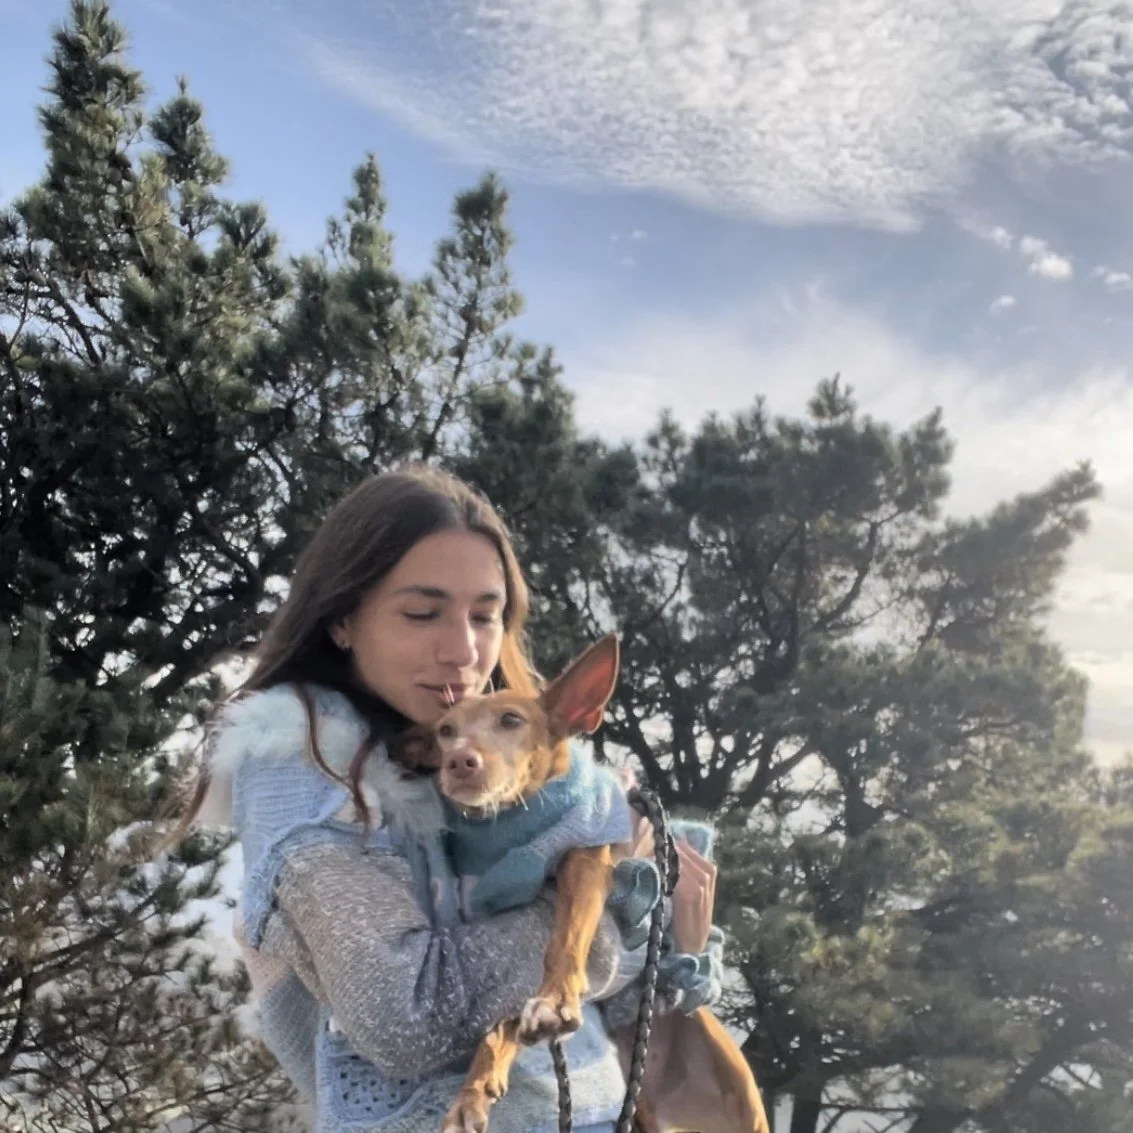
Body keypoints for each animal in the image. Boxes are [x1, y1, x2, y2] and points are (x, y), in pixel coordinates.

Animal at [394, 634, 769, 1133]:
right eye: (446, 731)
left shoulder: (587, 859)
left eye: (511, 720)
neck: (512, 824)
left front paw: (555, 1002)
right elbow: (500, 1021)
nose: (458, 762)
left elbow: (565, 941)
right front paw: (475, 1089)